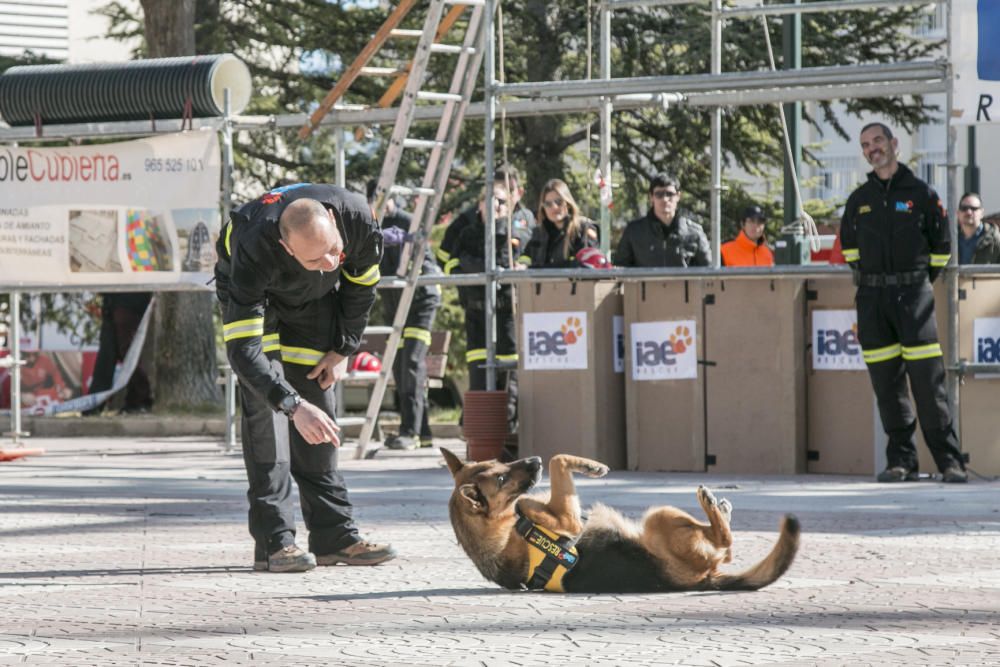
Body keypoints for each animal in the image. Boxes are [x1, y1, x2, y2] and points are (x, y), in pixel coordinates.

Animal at [442, 448, 800, 596]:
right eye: (502, 479)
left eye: (499, 462)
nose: (534, 460)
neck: (503, 528)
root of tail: (703, 580)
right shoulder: (569, 520)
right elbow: (533, 494)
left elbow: (556, 464)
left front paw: (589, 465)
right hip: (658, 517)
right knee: (725, 543)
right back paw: (711, 503)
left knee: (725, 547)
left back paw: (719, 509)